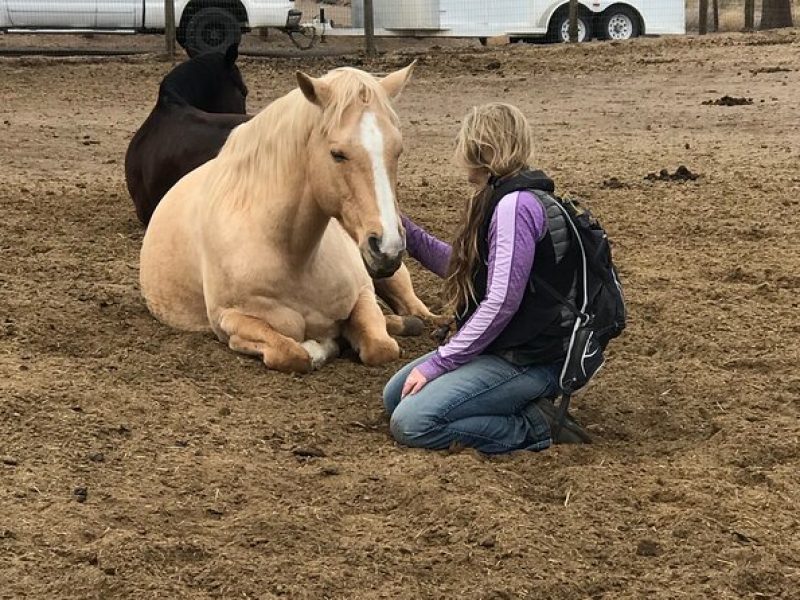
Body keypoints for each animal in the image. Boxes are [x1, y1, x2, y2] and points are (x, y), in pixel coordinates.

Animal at [139, 62, 424, 370]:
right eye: (337, 154)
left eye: (398, 150)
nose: (388, 247)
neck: (294, 257)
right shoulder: (230, 318)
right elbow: (290, 352)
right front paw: (319, 347)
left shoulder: (362, 293)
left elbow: (380, 347)